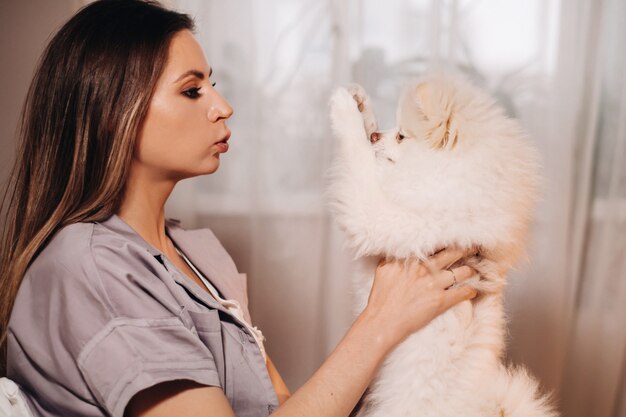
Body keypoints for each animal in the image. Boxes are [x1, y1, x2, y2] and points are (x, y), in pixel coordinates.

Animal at [326, 75, 556, 416]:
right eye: (392, 129)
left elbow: (360, 160)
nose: (378, 135)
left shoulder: (384, 217)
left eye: (401, 136)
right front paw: (360, 104)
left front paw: (344, 110)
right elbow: (368, 156)